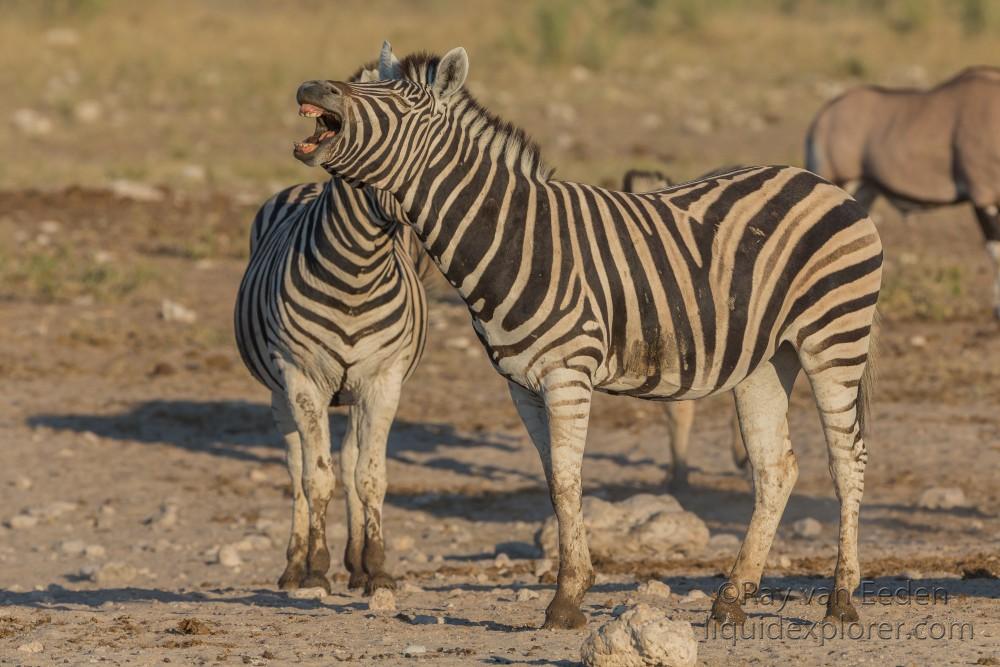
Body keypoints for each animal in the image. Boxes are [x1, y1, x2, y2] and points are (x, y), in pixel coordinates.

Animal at [236, 62, 436, 596]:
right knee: (298, 465)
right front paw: (317, 568)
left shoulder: (382, 380)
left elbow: (370, 476)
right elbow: (316, 478)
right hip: (281, 390)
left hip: (352, 390)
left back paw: (357, 561)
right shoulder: (303, 379)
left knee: (346, 460)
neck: (356, 272)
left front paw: (377, 569)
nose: (312, 86)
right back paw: (295, 564)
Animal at [294, 44, 884, 628]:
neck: (516, 238)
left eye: (398, 103)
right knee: (775, 468)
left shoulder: (567, 372)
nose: (309, 88)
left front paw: (565, 599)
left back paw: (841, 599)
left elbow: (566, 480)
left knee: (848, 460)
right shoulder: (522, 385)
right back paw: (732, 598)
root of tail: (820, 182)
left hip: (835, 338)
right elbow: (555, 482)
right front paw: (572, 592)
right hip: (766, 359)